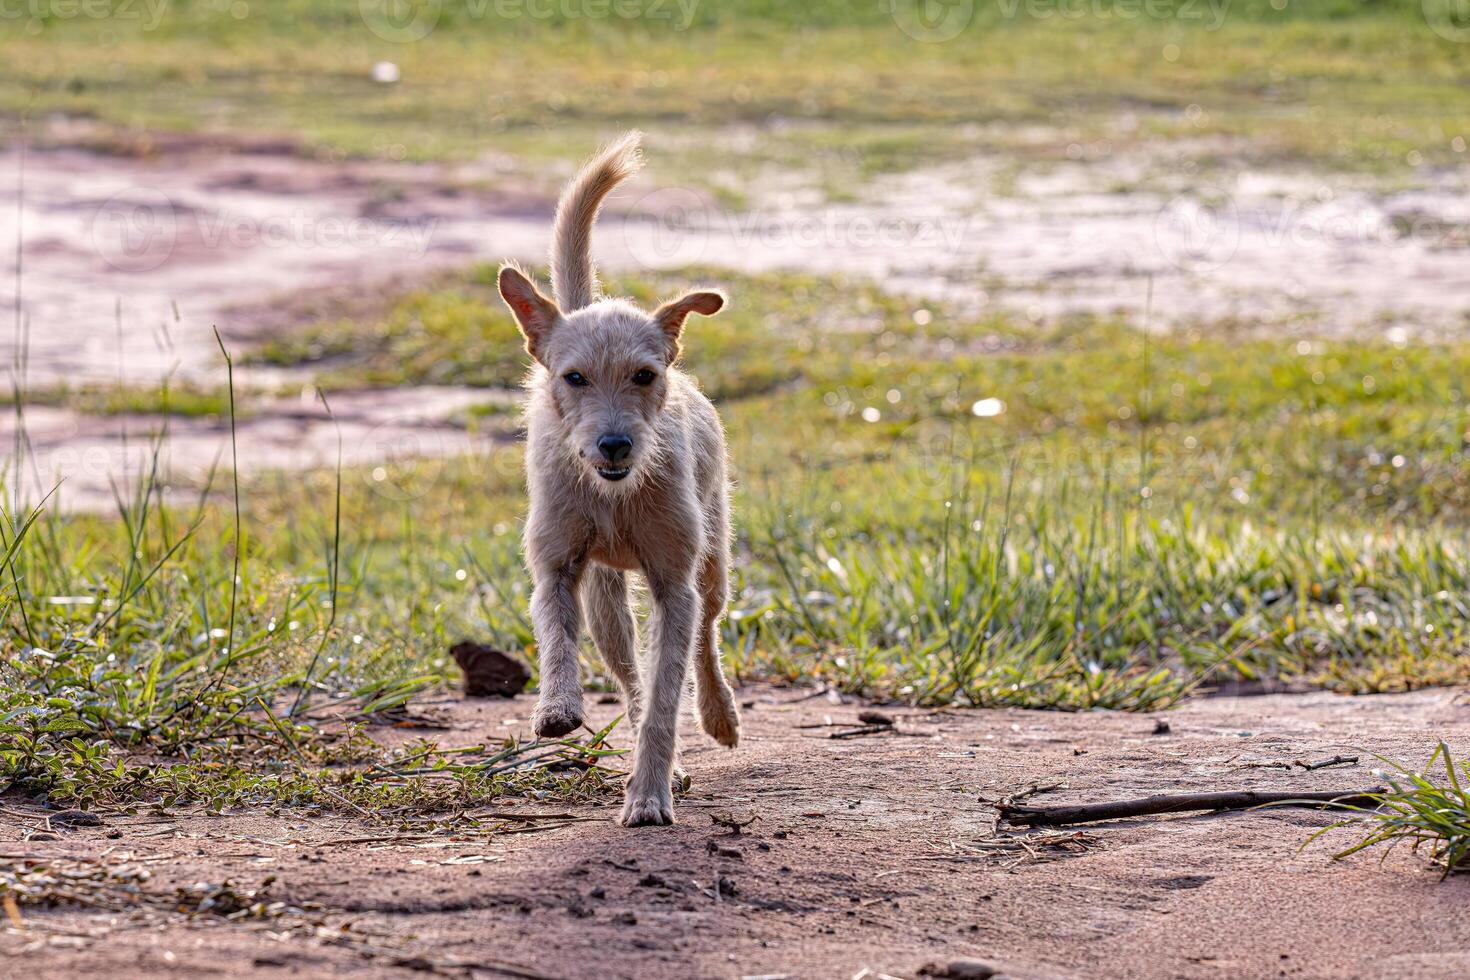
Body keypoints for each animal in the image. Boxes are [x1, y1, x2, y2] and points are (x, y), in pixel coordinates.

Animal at [499, 126, 740, 822]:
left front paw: (650, 793)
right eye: (574, 377)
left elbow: (666, 696)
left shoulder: (674, 587)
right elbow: (557, 636)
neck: (614, 497)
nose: (613, 443)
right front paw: (557, 709)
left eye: (644, 375)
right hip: (607, 602)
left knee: (707, 635)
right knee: (628, 672)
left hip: (713, 562)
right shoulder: (556, 567)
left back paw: (719, 716)